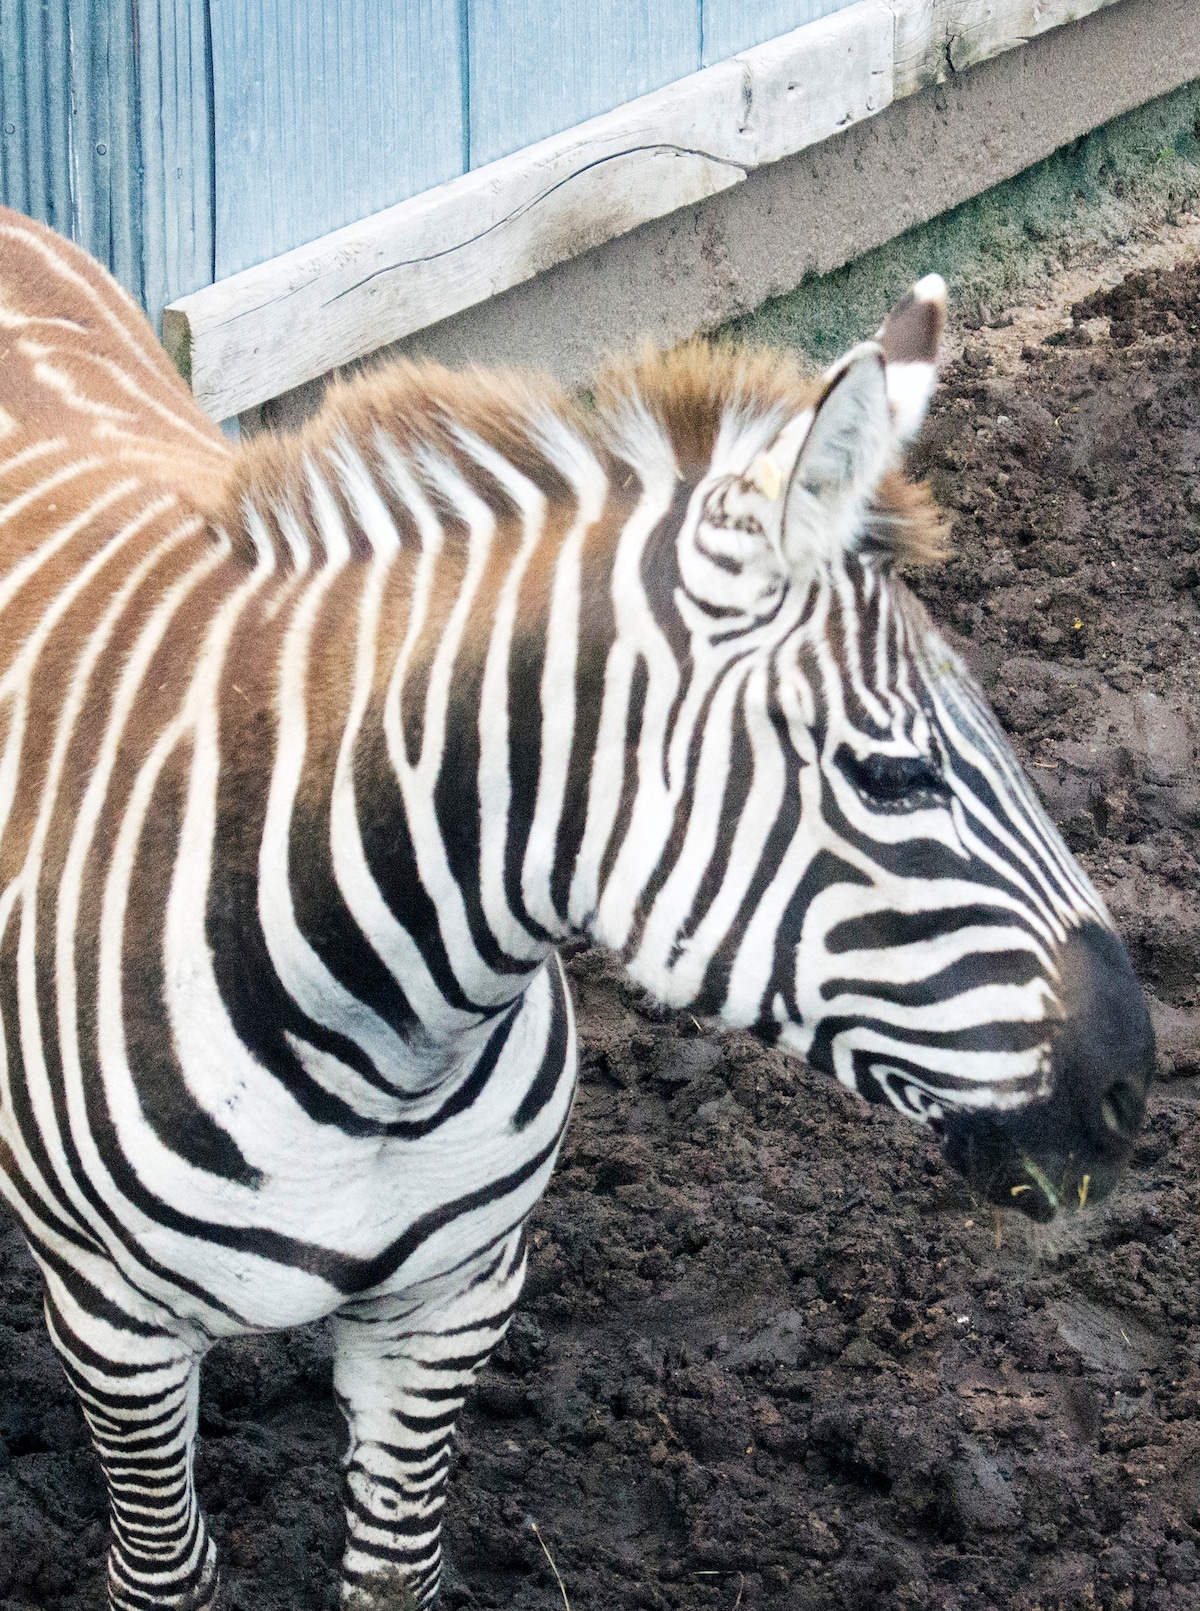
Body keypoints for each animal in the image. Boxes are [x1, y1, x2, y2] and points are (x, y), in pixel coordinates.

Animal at [0, 204, 1153, 1611]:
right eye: (892, 775)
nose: (1134, 1087)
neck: (381, 1041)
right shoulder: (116, 1332)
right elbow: (164, 1574)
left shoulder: (449, 1308)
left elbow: (395, 1575)